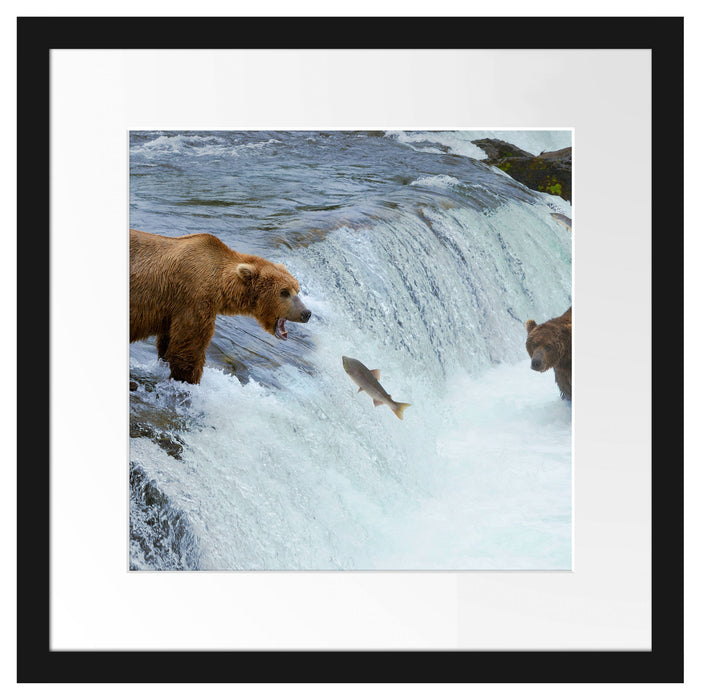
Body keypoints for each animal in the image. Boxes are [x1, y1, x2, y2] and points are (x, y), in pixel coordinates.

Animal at [130, 229, 311, 384]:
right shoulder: (194, 299)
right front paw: (188, 380)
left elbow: (168, 343)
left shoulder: (172, 311)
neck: (220, 285)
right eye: (284, 292)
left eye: (297, 289)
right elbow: (189, 349)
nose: (306, 313)